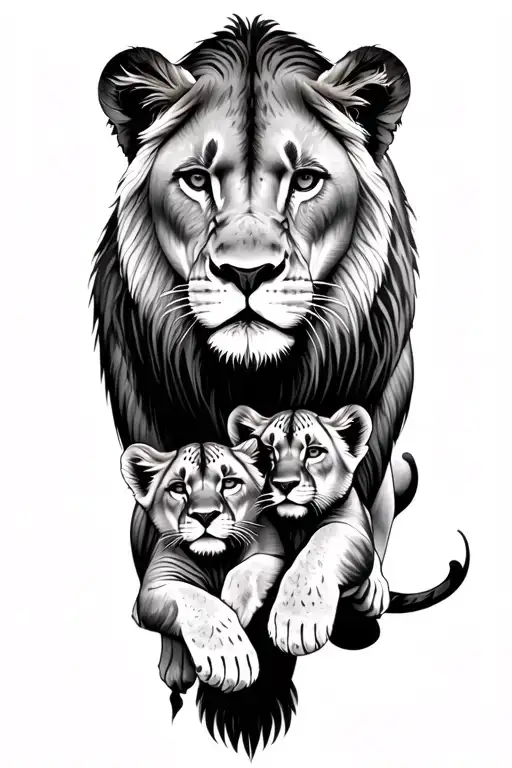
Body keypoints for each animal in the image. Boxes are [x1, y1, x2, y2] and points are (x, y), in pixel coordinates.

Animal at [93, 16, 431, 753]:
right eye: (196, 179)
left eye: (305, 179)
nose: (246, 273)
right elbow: (171, 580)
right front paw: (207, 643)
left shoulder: (358, 478)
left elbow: (336, 537)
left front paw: (299, 610)